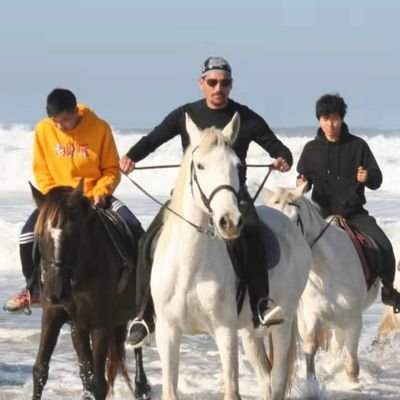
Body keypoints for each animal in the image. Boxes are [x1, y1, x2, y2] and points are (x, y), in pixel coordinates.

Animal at [30, 182, 151, 400]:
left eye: (73, 234)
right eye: (41, 235)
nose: (55, 292)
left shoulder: (100, 323)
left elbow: (99, 383)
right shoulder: (53, 315)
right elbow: (41, 369)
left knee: (138, 339)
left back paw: (141, 386)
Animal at [152, 112, 310, 400]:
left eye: (238, 166)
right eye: (200, 166)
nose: (230, 222)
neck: (190, 268)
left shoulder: (224, 332)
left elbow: (232, 389)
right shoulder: (167, 333)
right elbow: (170, 390)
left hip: (282, 324)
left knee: (277, 379)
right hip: (250, 332)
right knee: (265, 379)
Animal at [264, 184, 380, 382]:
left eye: (293, 220)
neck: (327, 268)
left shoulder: (354, 320)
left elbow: (352, 366)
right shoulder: (313, 315)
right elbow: (311, 346)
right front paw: (312, 383)